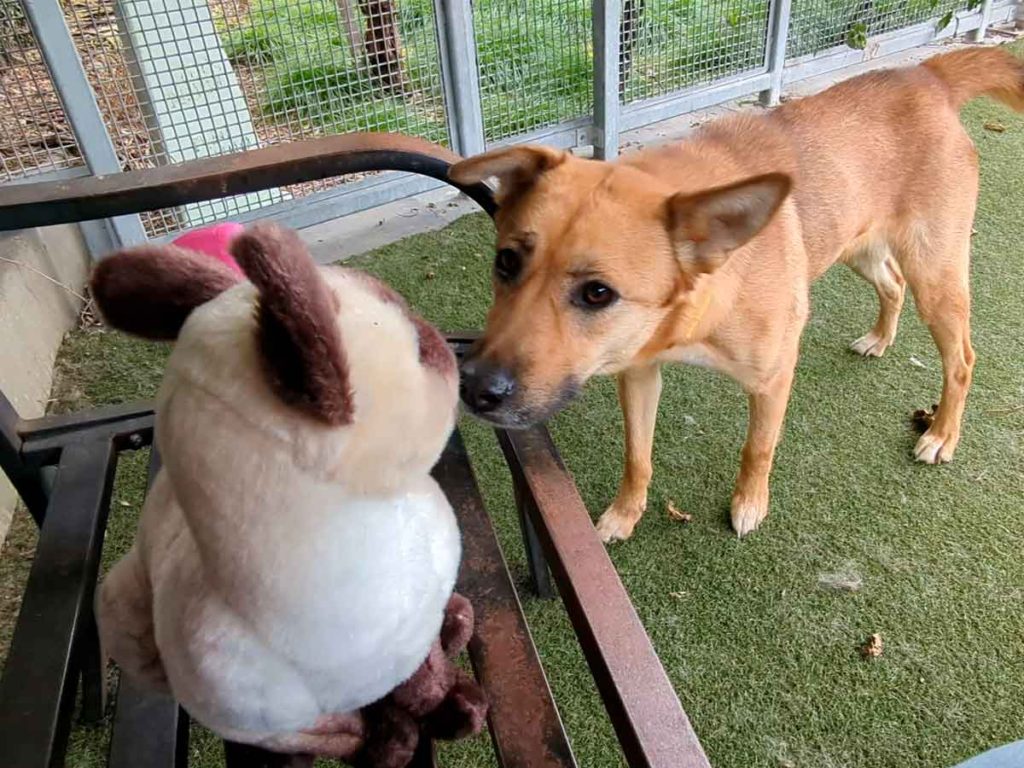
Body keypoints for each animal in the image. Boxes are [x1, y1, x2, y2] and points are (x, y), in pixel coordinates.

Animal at [452, 48, 1024, 540]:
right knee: (892, 283)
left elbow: (758, 449)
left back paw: (941, 434)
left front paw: (748, 505)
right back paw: (880, 339)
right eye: (506, 262)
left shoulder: (773, 379)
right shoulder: (638, 372)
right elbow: (637, 456)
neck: (695, 311)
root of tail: (928, 76)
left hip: (937, 275)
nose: (473, 387)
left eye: (597, 293)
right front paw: (624, 514)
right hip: (858, 246)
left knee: (962, 357)